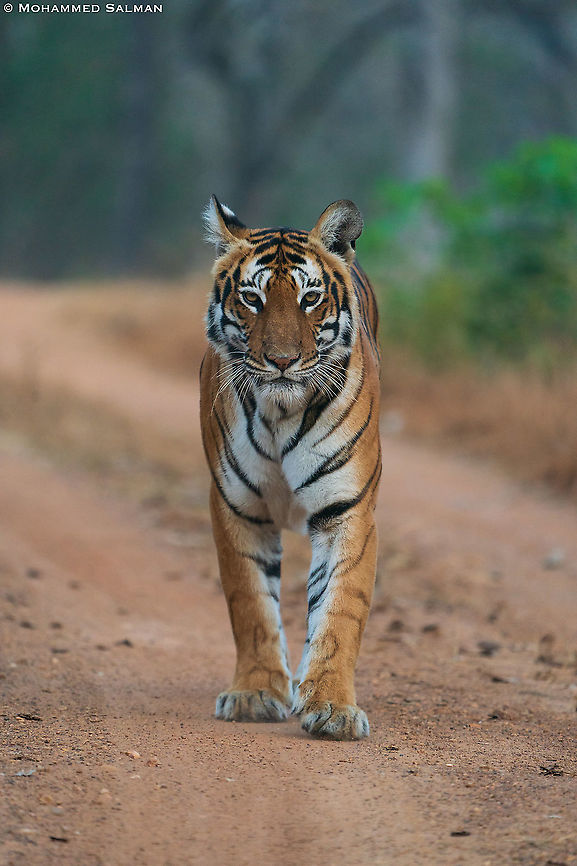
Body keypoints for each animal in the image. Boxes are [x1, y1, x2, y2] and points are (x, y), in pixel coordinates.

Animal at [200, 196, 381, 740]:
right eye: (253, 299)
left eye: (310, 298)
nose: (282, 361)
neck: (282, 410)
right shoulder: (238, 507)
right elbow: (251, 604)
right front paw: (255, 694)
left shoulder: (347, 509)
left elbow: (340, 611)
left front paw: (334, 709)